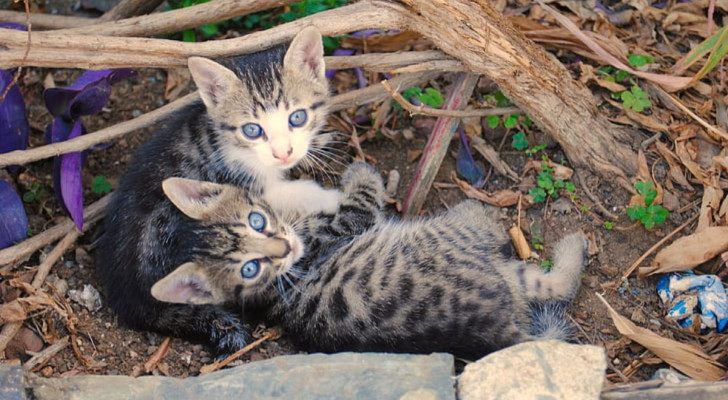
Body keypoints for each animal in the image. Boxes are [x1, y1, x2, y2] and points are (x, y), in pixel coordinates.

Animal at [96, 26, 342, 354]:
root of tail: (135, 304)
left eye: (297, 117)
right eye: (253, 130)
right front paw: (329, 196)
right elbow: (286, 193)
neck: (225, 140)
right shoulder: (242, 182)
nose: (283, 154)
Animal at [151, 162, 588, 360]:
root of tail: (498, 334)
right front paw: (360, 172)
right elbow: (361, 197)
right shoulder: (345, 224)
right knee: (517, 253)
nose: (285, 250)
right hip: (445, 244)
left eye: (256, 221)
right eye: (249, 268)